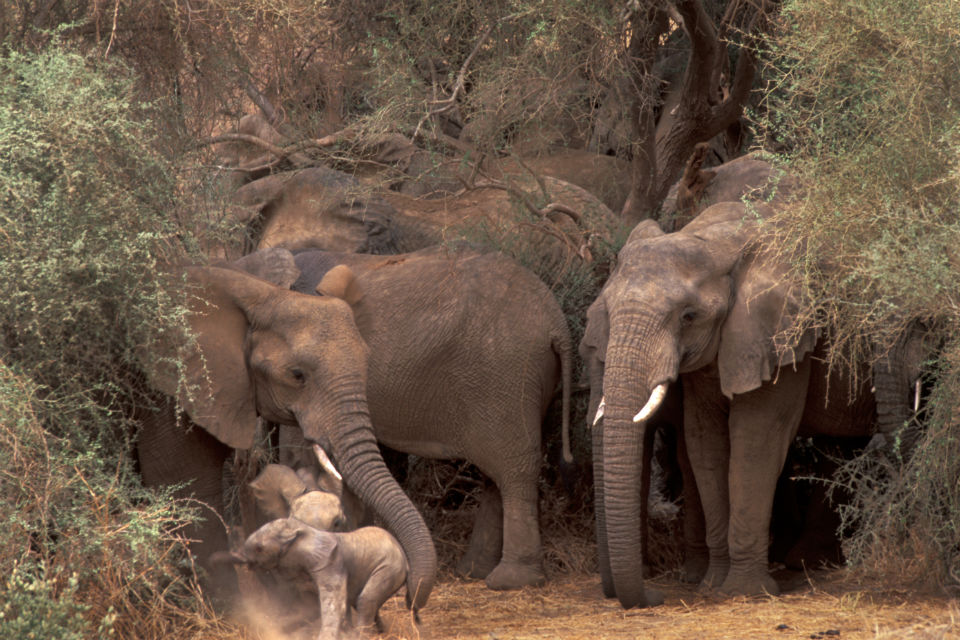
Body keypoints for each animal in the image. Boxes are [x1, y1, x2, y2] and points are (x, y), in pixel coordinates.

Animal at [137, 248, 436, 608]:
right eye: (297, 375)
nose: (410, 597)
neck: (257, 294)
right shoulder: (166, 387)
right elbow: (184, 482)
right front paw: (232, 610)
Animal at [216, 516, 410, 636]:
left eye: (259, 549)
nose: (213, 559)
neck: (305, 531)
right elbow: (311, 607)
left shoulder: (329, 564)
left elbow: (334, 606)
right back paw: (382, 632)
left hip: (390, 568)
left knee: (366, 599)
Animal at [282, 245, 572, 592]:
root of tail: (556, 321)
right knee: (498, 472)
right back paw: (474, 571)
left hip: (509, 373)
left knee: (514, 470)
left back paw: (511, 581)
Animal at [576, 202, 876, 608]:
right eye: (606, 310)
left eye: (689, 317)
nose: (655, 594)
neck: (716, 242)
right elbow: (706, 444)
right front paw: (712, 585)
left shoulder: (777, 334)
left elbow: (754, 443)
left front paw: (745, 592)